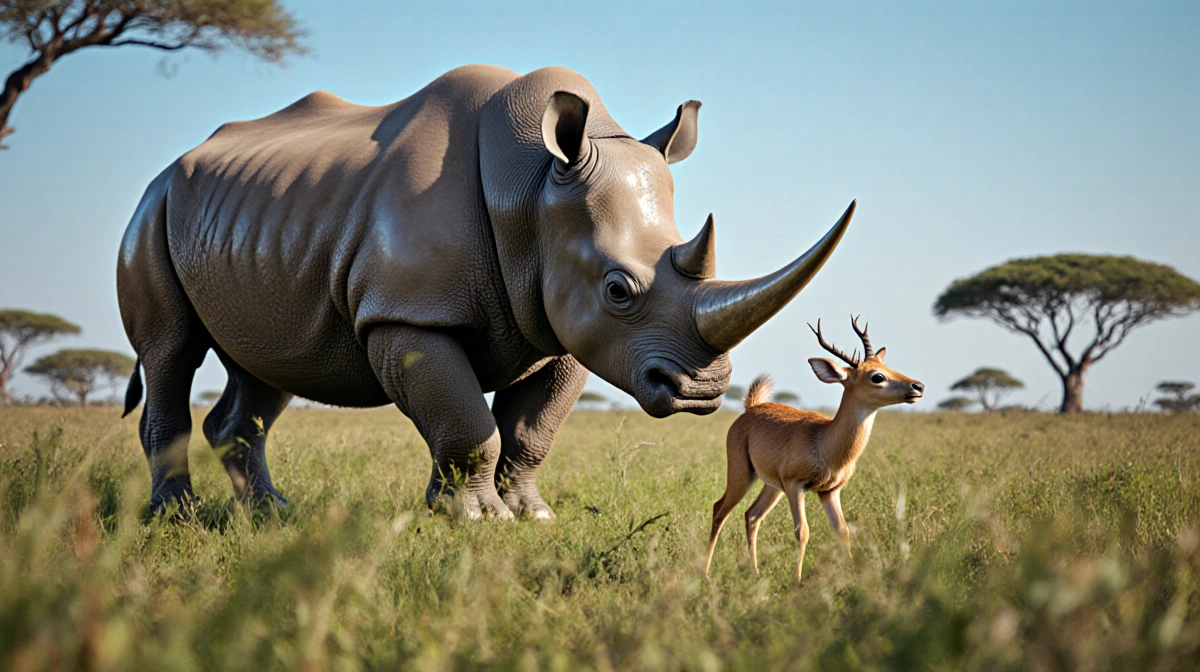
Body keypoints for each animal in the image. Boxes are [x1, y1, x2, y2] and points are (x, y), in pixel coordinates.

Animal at [117, 65, 854, 520]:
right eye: (619, 290)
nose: (703, 391)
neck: (530, 190)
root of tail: (168, 171)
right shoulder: (410, 315)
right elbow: (470, 424)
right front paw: (476, 520)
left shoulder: (562, 330)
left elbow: (528, 433)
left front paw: (527, 515)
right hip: (151, 211)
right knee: (171, 353)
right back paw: (177, 518)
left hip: (257, 224)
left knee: (265, 368)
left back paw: (271, 515)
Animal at [704, 316, 924, 580]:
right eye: (877, 376)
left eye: (888, 367)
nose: (917, 386)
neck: (825, 443)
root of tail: (751, 408)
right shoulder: (795, 485)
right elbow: (803, 531)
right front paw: (797, 581)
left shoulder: (829, 491)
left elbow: (842, 531)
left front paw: (854, 578)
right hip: (743, 476)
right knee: (719, 510)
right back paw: (704, 573)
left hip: (772, 486)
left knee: (752, 515)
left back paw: (756, 573)